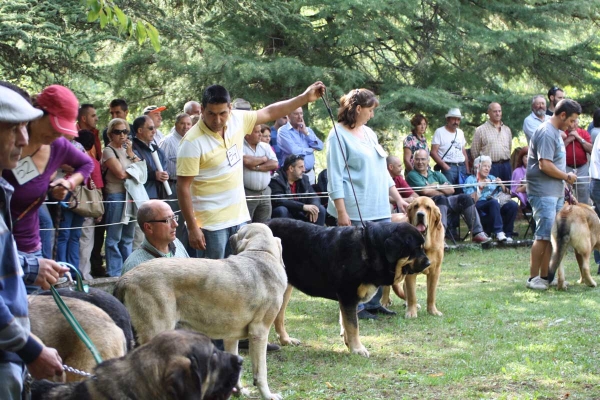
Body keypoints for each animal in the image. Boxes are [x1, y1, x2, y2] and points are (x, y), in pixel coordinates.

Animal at [116, 223, 288, 400]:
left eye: (239, 232)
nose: (231, 237)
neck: (261, 251)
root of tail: (126, 278)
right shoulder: (259, 332)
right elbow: (261, 371)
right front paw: (268, 395)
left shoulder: (231, 338)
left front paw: (239, 391)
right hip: (157, 332)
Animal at [264, 219, 428, 360]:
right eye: (416, 248)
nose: (429, 263)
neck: (371, 249)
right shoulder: (348, 295)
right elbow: (353, 325)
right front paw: (358, 349)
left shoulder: (348, 299)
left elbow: (346, 323)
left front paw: (350, 345)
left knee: (279, 316)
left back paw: (286, 340)